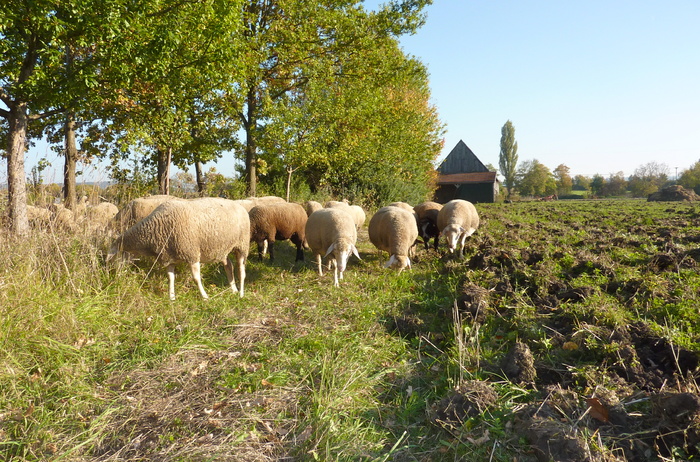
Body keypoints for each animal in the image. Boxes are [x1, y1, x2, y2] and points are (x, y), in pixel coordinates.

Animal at [106, 198, 252, 300]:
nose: (113, 277)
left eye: (114, 257)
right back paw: (233, 289)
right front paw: (171, 297)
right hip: (223, 249)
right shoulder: (169, 257)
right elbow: (170, 278)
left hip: (242, 245)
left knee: (241, 270)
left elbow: (196, 278)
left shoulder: (192, 254)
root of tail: (240, 205)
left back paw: (241, 293)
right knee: (229, 266)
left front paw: (204, 296)